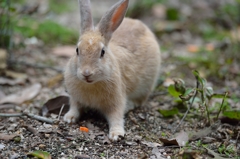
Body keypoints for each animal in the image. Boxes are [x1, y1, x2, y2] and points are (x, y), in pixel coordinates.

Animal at [63, 0, 161, 141]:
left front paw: (116, 134)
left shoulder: (116, 101)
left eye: (102, 52)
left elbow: (116, 117)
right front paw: (69, 118)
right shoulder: (75, 98)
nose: (86, 73)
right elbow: (75, 107)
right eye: (77, 50)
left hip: (146, 85)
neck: (91, 84)